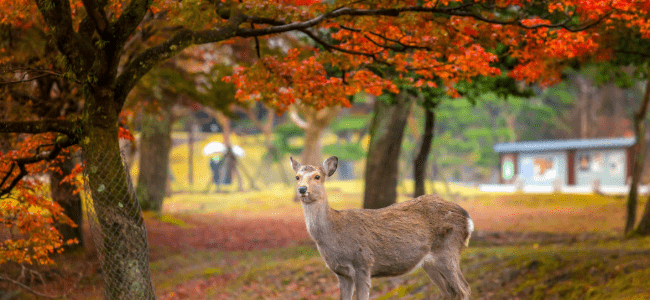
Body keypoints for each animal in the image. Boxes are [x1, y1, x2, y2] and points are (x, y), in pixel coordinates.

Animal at [290, 156, 470, 300]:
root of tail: (467, 218)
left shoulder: (363, 263)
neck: (334, 232)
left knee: (464, 288)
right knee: (449, 292)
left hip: (448, 249)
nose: (302, 189)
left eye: (317, 176)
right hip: (430, 263)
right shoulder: (341, 273)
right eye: (297, 177)